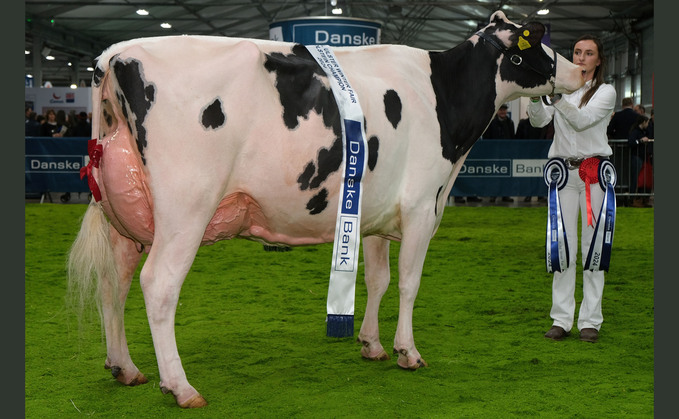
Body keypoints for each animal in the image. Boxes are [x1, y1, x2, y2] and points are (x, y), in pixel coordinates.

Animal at [70, 11, 584, 408]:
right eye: (540, 42)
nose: (583, 70)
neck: (443, 95)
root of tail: (115, 54)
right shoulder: (422, 206)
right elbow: (410, 283)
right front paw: (408, 352)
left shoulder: (376, 213)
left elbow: (378, 280)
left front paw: (371, 344)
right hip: (186, 207)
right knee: (158, 285)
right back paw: (180, 387)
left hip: (124, 218)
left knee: (113, 282)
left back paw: (125, 367)